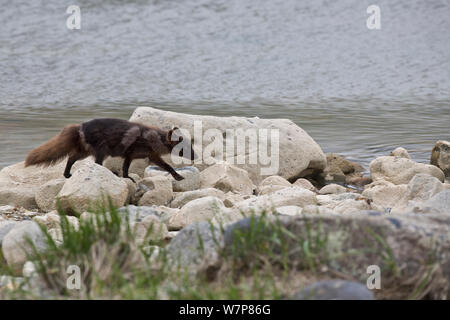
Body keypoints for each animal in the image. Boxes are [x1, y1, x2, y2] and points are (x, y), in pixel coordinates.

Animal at [23, 117, 194, 182]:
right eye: (184, 148)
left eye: (191, 145)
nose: (195, 156)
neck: (152, 138)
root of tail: (80, 126)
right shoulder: (141, 154)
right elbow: (167, 165)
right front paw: (179, 176)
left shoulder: (142, 155)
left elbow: (126, 167)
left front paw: (127, 177)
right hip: (100, 150)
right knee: (96, 163)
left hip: (85, 151)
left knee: (71, 158)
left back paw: (67, 174)